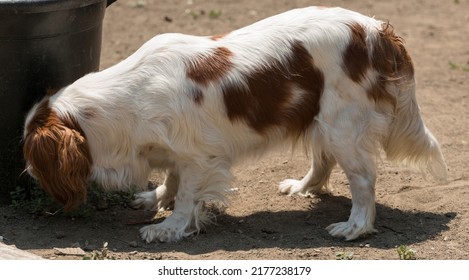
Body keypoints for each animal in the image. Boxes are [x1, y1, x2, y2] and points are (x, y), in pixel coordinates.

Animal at [22, 6, 446, 243]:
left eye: (31, 157)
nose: (26, 175)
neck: (128, 98)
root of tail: (377, 30)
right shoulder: (180, 148)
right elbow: (172, 179)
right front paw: (156, 198)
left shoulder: (201, 157)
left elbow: (187, 195)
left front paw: (169, 228)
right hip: (320, 117)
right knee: (323, 160)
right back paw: (302, 188)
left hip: (343, 124)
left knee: (363, 181)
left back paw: (355, 227)